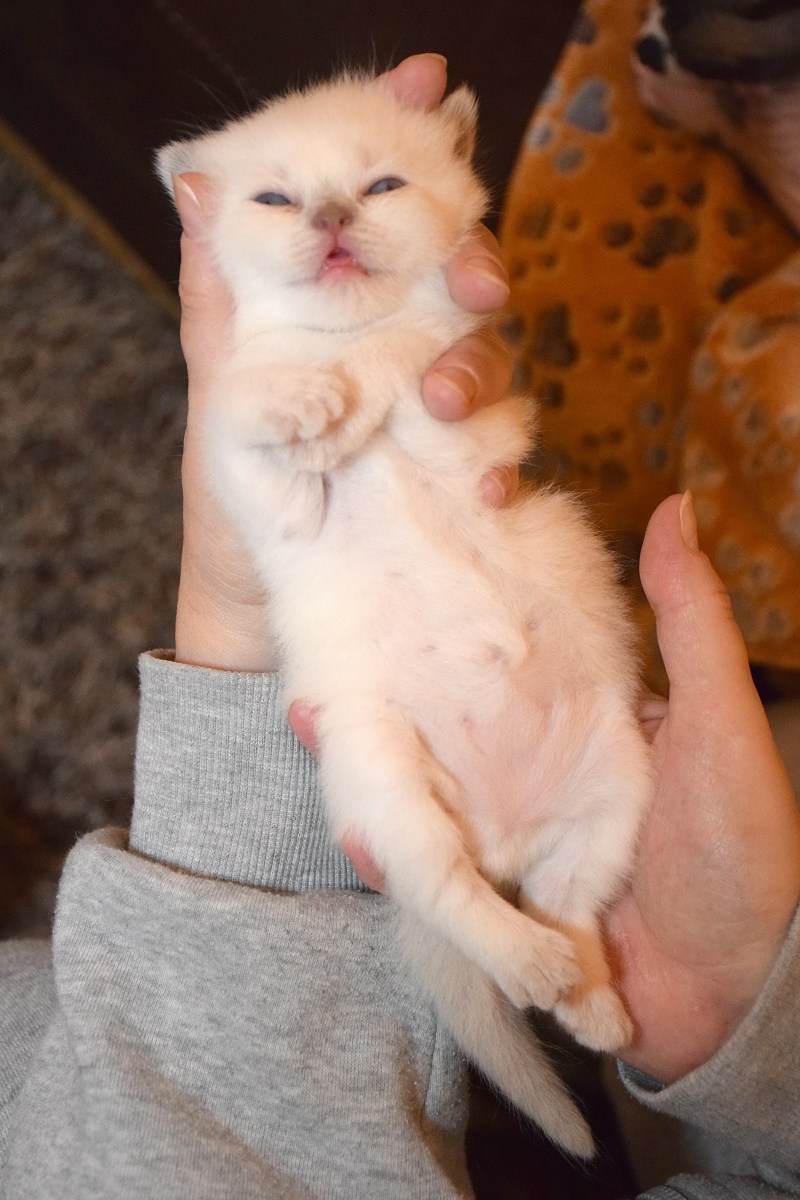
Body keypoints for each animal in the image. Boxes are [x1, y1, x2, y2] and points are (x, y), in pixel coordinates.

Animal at [157, 73, 653, 1160]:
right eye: (274, 200)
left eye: (380, 184)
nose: (333, 217)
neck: (345, 334)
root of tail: (505, 834)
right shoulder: (268, 506)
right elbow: (244, 408)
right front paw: (306, 403)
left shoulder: (464, 417)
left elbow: (423, 351)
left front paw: (366, 373)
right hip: (380, 775)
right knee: (449, 887)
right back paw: (537, 967)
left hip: (617, 785)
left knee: (568, 902)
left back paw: (588, 998)